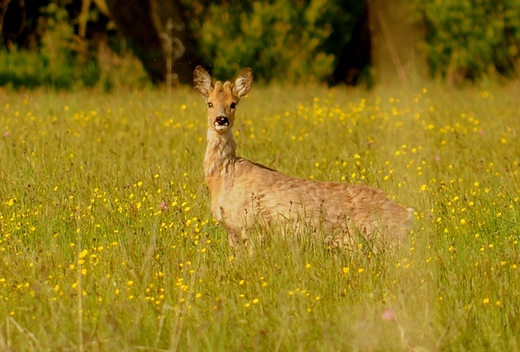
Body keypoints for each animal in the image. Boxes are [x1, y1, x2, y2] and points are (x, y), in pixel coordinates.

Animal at [193, 66, 412, 252]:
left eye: (233, 104)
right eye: (209, 103)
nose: (221, 120)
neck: (224, 177)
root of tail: (409, 217)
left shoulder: (248, 224)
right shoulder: (233, 230)